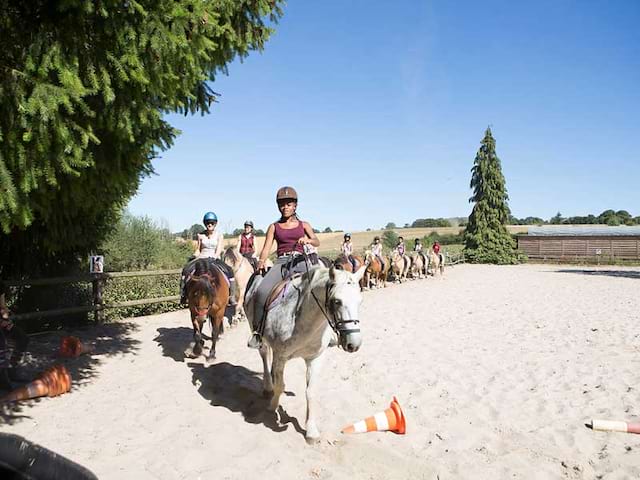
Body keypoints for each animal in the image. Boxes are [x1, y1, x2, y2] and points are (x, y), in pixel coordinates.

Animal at [244, 264, 364, 444]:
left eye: (359, 301)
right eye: (337, 301)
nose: (353, 344)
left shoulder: (315, 359)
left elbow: (311, 392)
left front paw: (311, 431)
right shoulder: (280, 356)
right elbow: (280, 385)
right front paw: (273, 406)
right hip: (257, 334)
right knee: (264, 356)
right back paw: (267, 387)